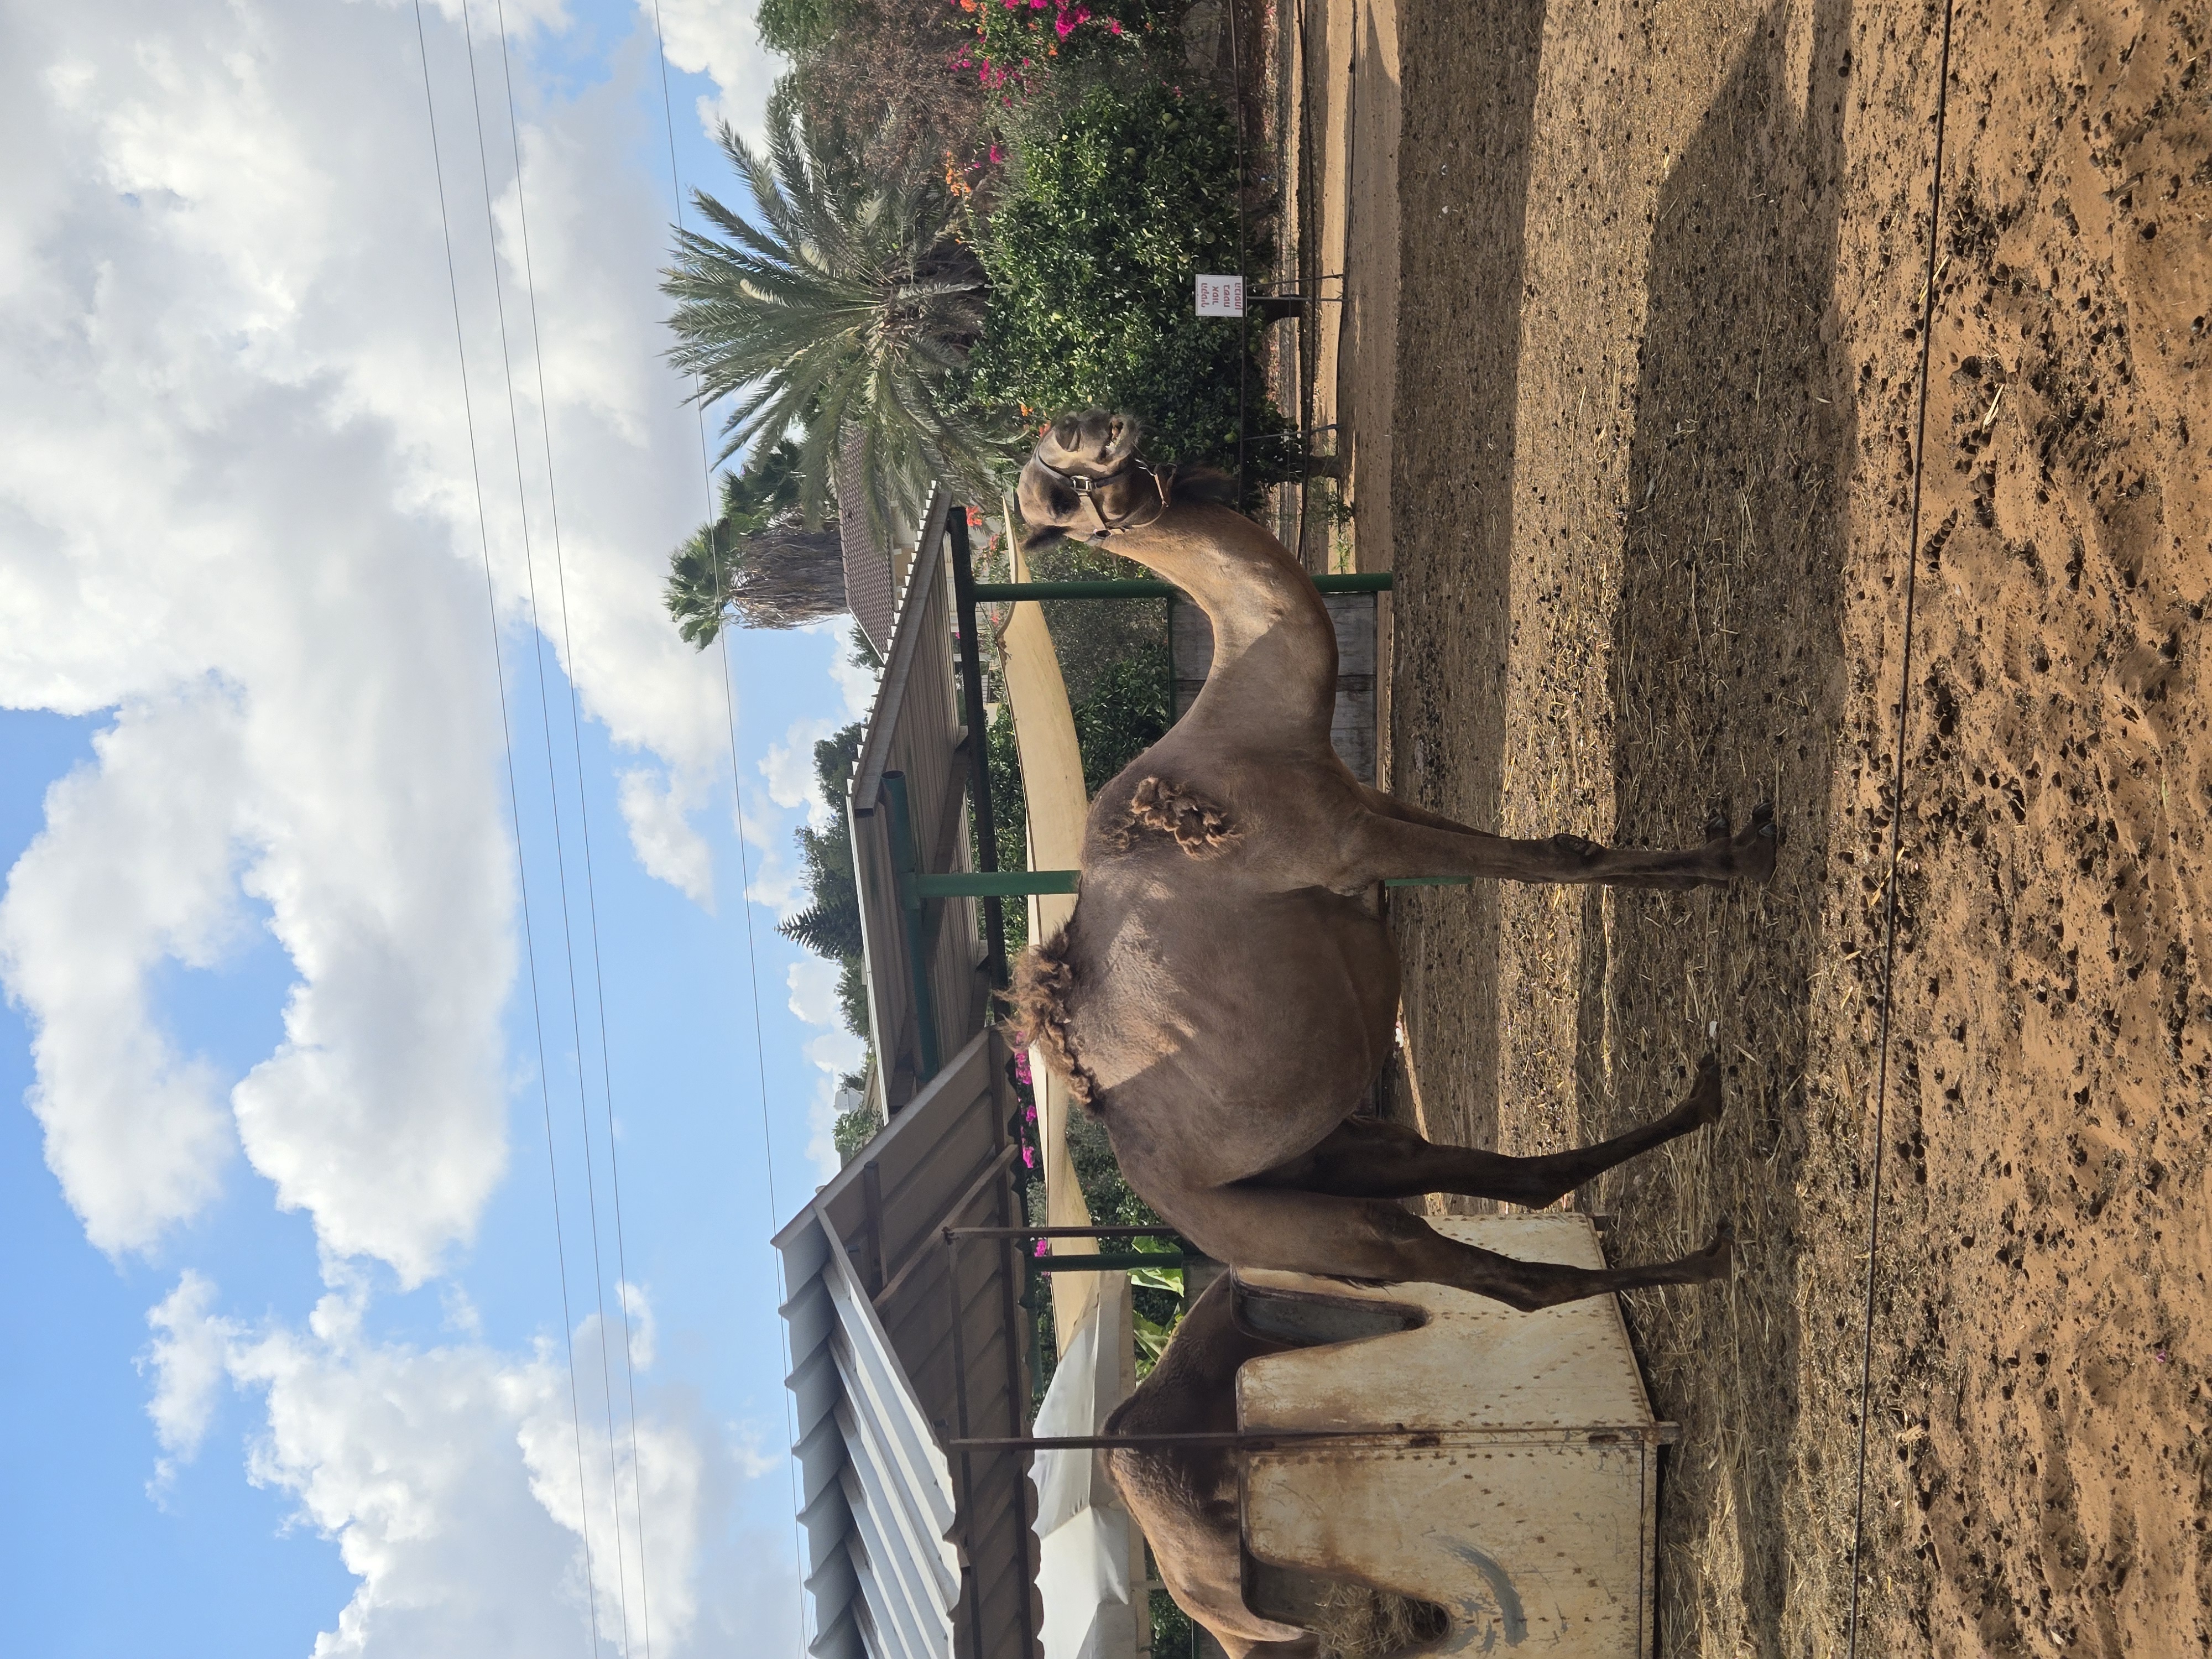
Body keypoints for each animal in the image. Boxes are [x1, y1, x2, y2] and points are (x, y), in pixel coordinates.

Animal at [1006, 411, 1777, 1308]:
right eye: (1058, 499)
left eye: (1069, 449)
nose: (1099, 428)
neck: (1248, 730)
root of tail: (1194, 1237)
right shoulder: (1348, 840)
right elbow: (1550, 862)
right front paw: (1741, 860)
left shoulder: (1368, 803)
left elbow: (1548, 849)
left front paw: (1730, 848)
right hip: (1300, 1226)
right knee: (1486, 1273)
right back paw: (1703, 1256)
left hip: (1330, 1152)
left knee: (1486, 1177)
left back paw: (1703, 1105)